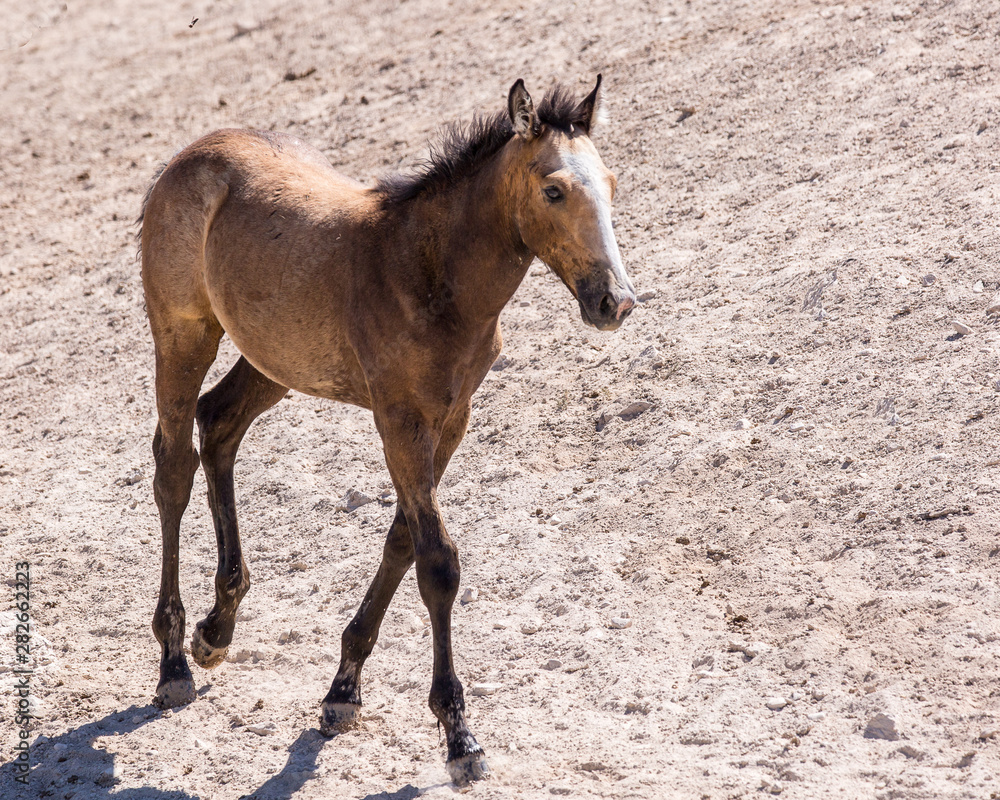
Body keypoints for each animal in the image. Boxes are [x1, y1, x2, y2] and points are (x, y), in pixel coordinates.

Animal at [138, 75, 635, 783]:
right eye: (554, 190)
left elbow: (403, 539)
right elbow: (438, 563)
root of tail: (187, 157)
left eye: (612, 184)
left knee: (221, 423)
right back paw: (174, 660)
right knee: (173, 465)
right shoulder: (398, 420)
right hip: (183, 334)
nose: (614, 302)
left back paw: (217, 628)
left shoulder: (450, 419)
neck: (429, 275)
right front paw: (459, 736)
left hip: (275, 358)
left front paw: (343, 690)